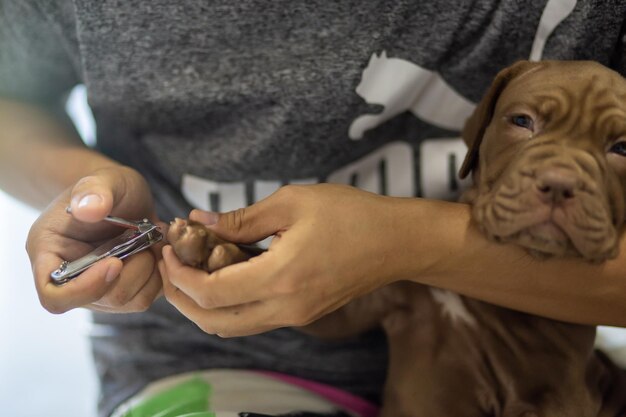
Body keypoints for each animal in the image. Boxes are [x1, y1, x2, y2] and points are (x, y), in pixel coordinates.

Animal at [169, 61, 624, 416]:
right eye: (521, 121)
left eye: (621, 148)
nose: (559, 183)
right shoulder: (371, 302)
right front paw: (210, 246)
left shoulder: (562, 390)